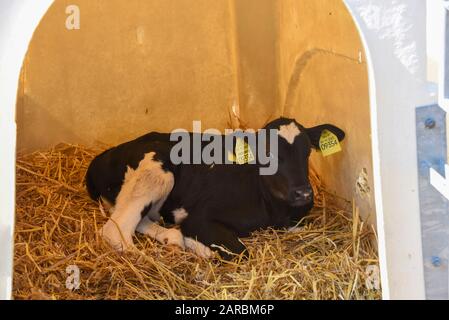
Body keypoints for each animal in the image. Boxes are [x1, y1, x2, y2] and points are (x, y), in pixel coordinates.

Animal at [85, 117, 344, 260]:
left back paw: (172, 238)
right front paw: (201, 247)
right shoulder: (199, 217)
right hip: (155, 172)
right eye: (268, 154)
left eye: (307, 152)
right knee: (116, 231)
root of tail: (103, 156)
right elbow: (239, 251)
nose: (303, 193)